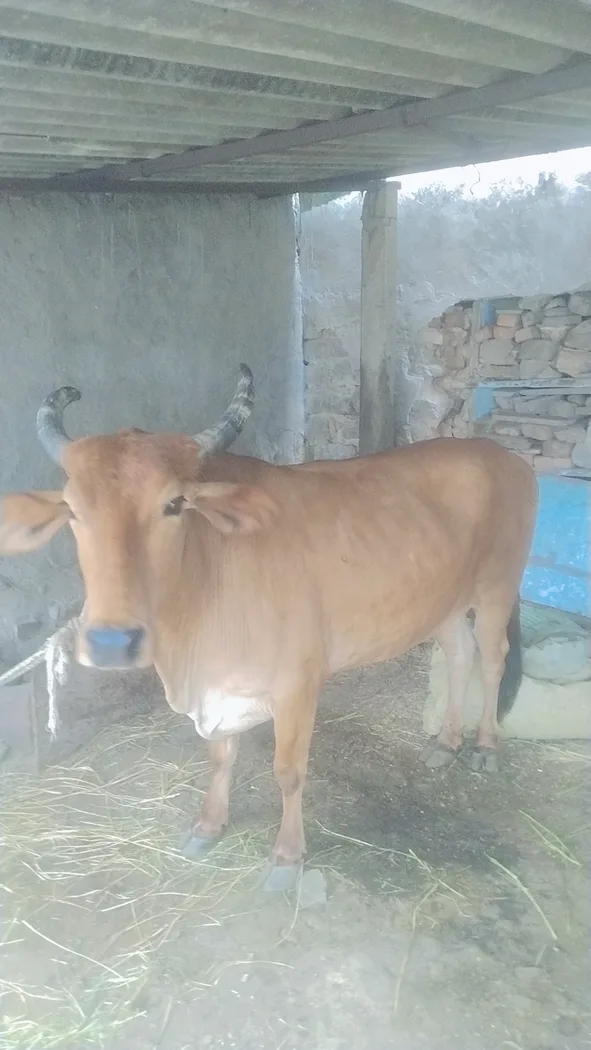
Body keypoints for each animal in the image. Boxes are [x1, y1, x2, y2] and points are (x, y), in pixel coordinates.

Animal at [0, 366, 537, 886]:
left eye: (174, 504)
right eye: (72, 509)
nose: (112, 642)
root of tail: (502, 455)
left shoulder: (298, 684)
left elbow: (288, 772)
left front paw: (286, 857)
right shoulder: (219, 691)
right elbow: (220, 757)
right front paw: (208, 825)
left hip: (497, 585)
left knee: (493, 659)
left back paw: (484, 746)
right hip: (443, 601)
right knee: (460, 653)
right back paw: (446, 743)